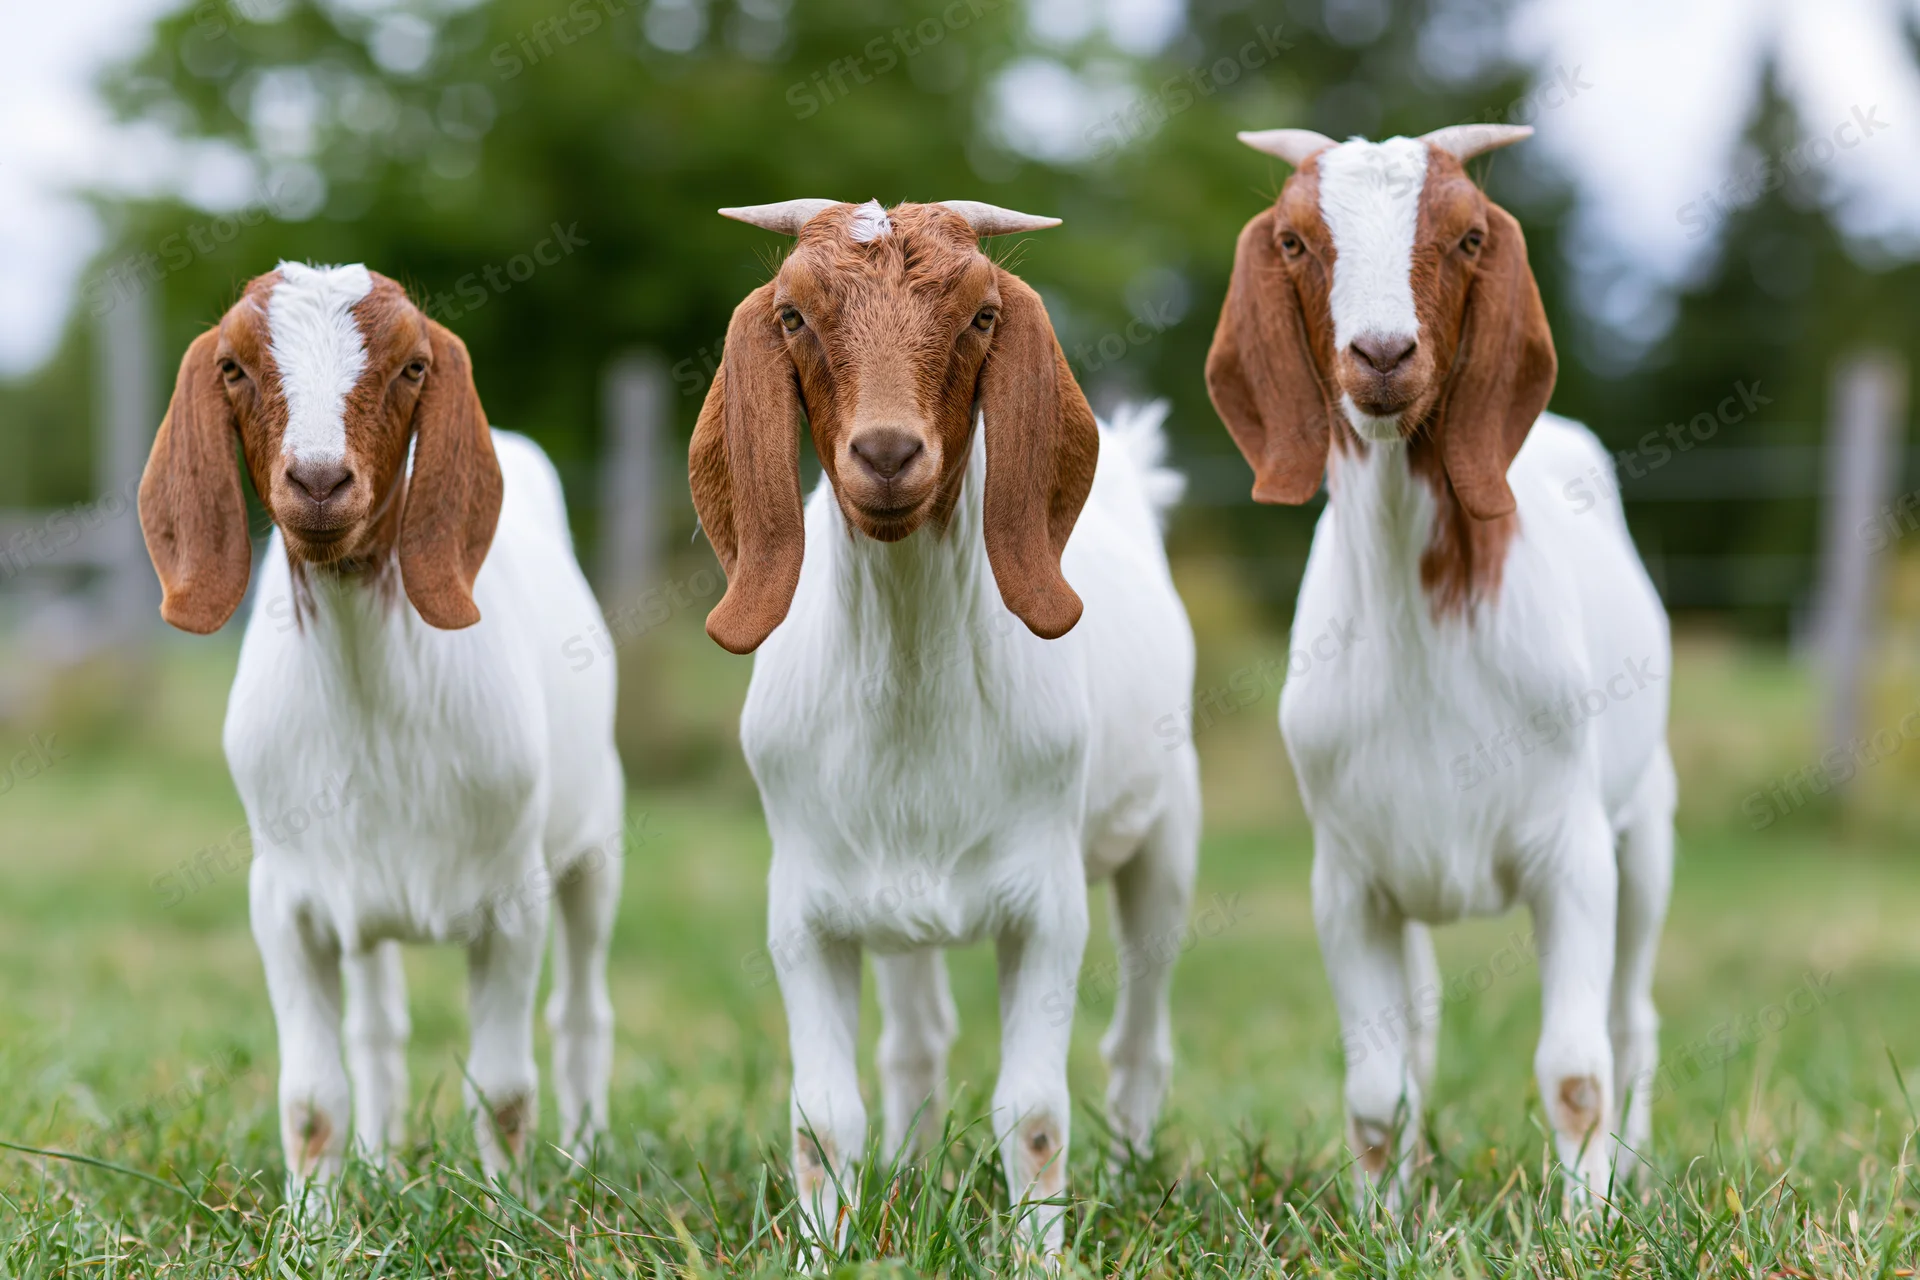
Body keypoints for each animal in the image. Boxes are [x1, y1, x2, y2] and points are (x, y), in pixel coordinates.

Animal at [138, 263, 625, 1207]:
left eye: (412, 367)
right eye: (234, 367)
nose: (320, 481)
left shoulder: (513, 900)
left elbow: (504, 1090)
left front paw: (506, 1215)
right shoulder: (286, 899)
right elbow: (310, 1097)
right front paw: (314, 1220)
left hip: (594, 846)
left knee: (584, 1009)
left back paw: (590, 1157)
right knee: (375, 1030)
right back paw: (378, 1159)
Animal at [690, 199, 1201, 1255]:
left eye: (979, 316)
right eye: (794, 316)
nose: (887, 455)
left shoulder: (1047, 905)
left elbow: (1033, 1112)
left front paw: (1042, 1257)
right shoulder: (804, 910)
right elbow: (822, 1117)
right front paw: (827, 1252)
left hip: (1168, 836)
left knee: (1140, 1036)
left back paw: (1129, 1174)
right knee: (917, 1041)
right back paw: (913, 1165)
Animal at [1206, 125, 1674, 1203]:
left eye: (1467, 236)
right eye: (1293, 239)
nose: (1382, 354)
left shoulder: (1572, 850)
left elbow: (1575, 1069)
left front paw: (1588, 1219)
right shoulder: (1350, 877)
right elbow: (1378, 1086)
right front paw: (1385, 1216)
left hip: (1647, 826)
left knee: (1633, 1020)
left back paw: (1634, 1171)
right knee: (1418, 1027)